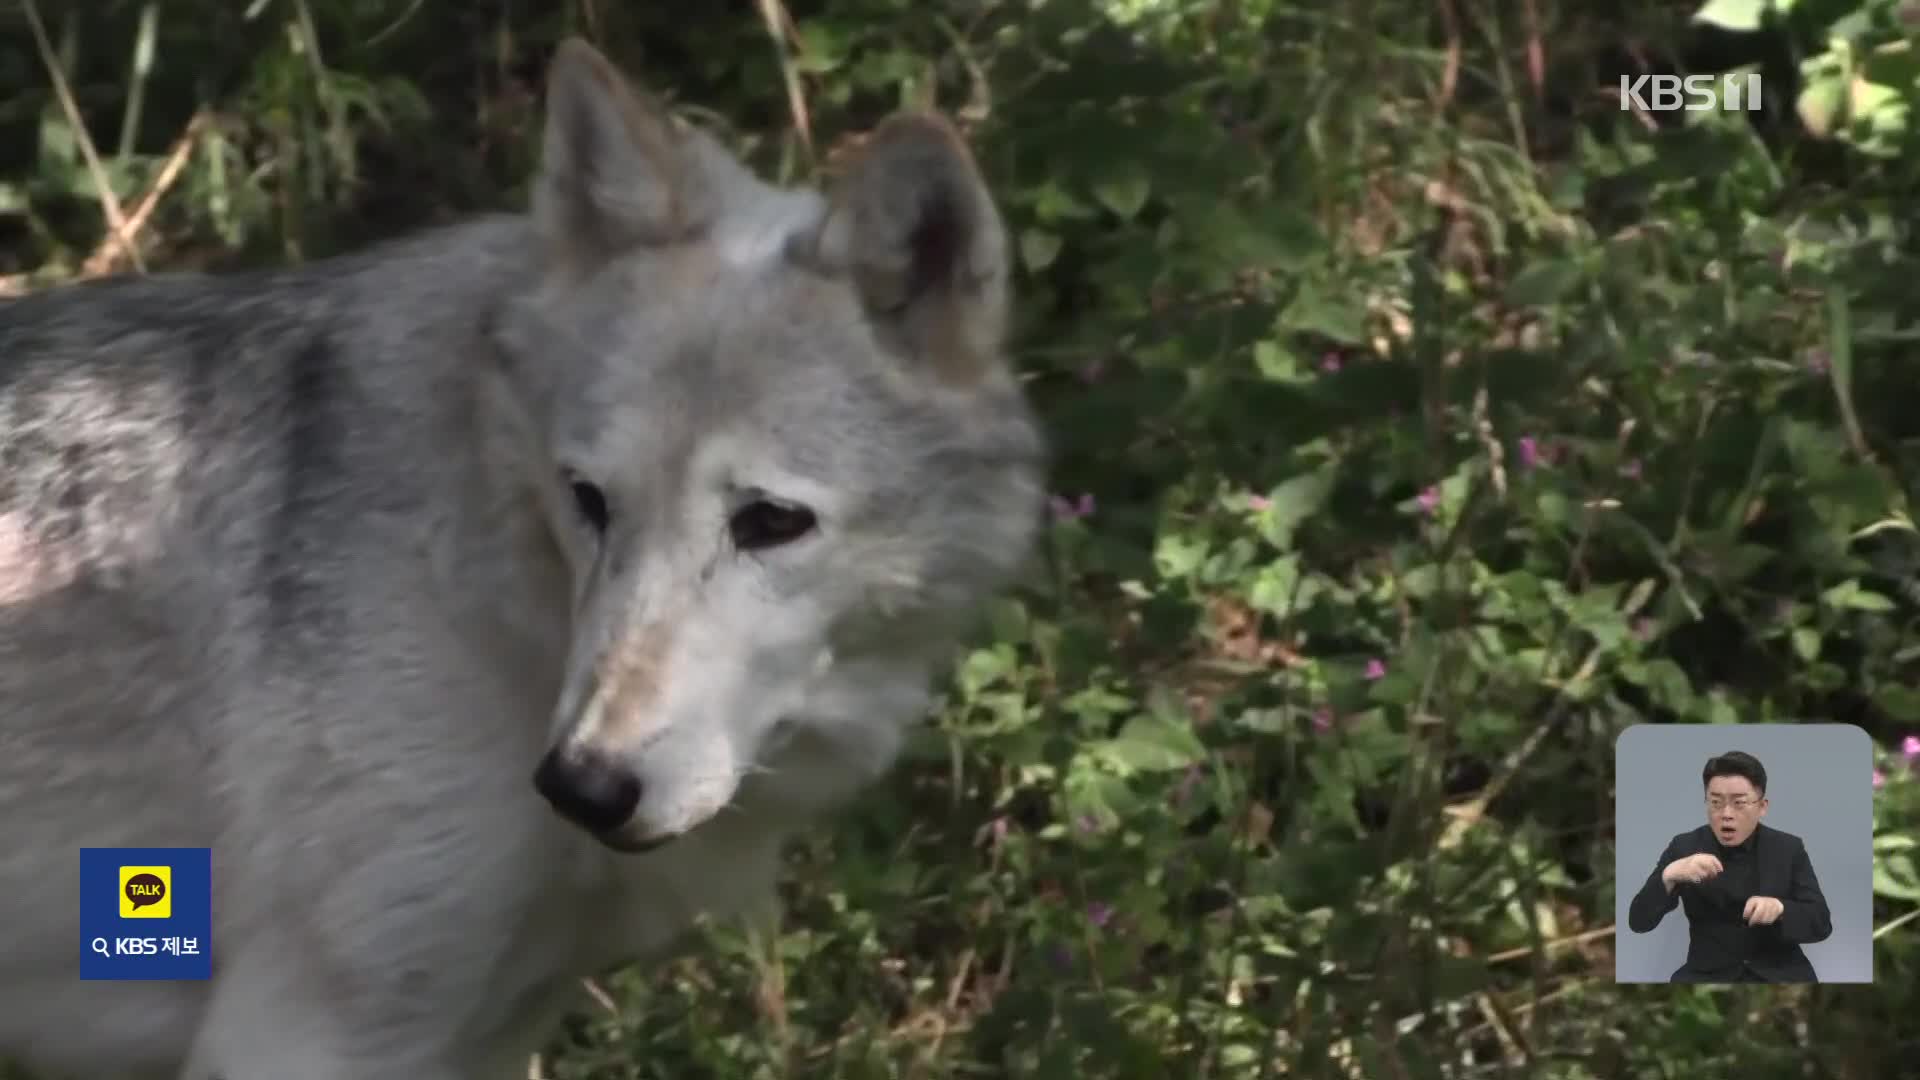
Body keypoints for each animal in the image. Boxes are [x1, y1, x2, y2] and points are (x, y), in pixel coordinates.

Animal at [0, 35, 1044, 1076]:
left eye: (771, 521)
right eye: (589, 500)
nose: (582, 788)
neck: (488, 599)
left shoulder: (493, 1031)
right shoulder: (307, 1035)